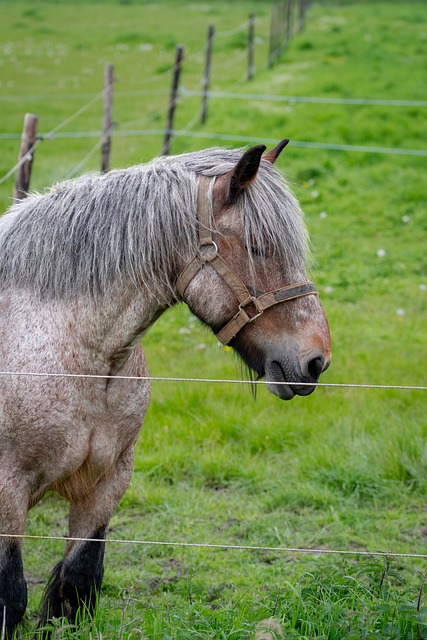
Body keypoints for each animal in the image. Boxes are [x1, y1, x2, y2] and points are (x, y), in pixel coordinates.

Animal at [0, 140, 332, 636]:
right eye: (257, 248)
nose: (316, 360)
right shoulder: (8, 493)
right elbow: (11, 597)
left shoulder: (108, 481)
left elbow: (77, 585)